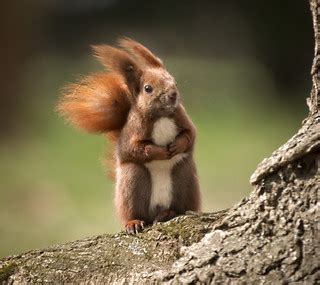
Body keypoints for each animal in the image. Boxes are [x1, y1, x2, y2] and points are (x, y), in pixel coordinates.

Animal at [58, 37, 200, 233]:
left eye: (174, 81)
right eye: (148, 88)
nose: (173, 95)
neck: (161, 115)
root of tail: (157, 210)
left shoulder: (182, 118)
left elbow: (190, 135)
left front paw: (177, 145)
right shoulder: (133, 132)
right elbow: (135, 149)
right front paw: (159, 152)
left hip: (184, 177)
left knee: (180, 205)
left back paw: (169, 213)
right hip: (133, 180)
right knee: (134, 212)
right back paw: (134, 222)